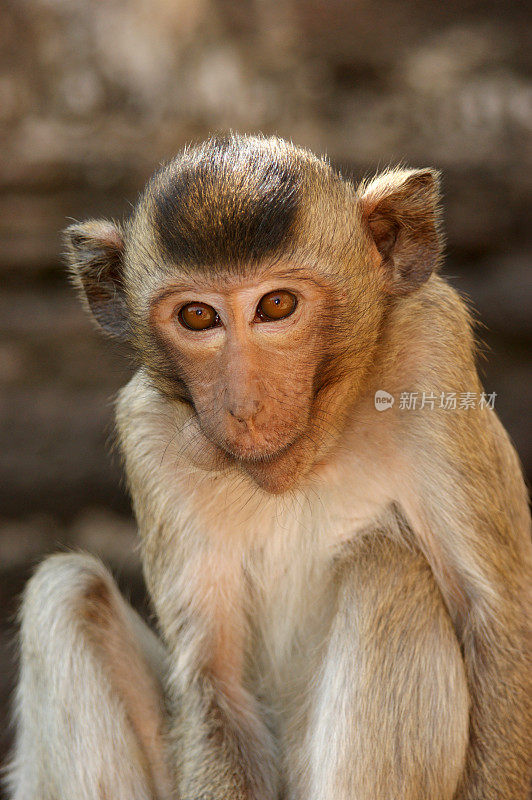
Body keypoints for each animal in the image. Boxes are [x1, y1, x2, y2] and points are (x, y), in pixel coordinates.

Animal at [5, 134, 532, 796]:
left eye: (277, 304)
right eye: (198, 316)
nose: (245, 406)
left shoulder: (431, 351)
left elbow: (499, 623)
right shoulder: (148, 432)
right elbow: (216, 682)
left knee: (388, 565)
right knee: (69, 588)